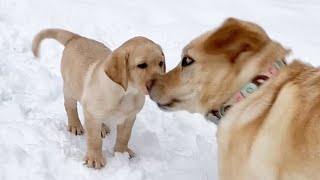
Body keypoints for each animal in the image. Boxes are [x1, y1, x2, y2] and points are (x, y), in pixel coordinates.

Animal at [33, 28, 165, 169]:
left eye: (161, 63)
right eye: (142, 65)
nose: (162, 83)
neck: (127, 93)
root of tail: (76, 37)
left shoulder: (129, 117)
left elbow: (124, 136)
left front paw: (121, 152)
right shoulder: (92, 115)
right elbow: (94, 140)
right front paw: (94, 159)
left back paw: (102, 127)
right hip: (70, 89)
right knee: (70, 107)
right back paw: (75, 125)